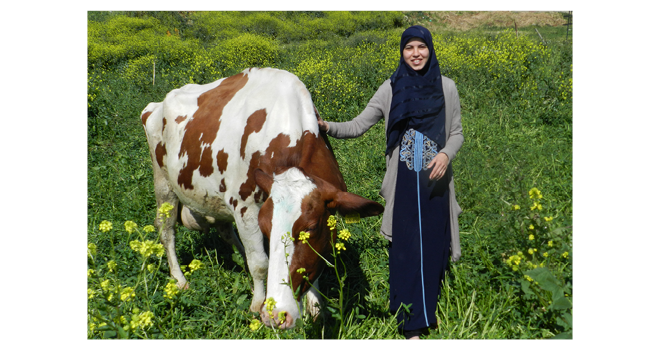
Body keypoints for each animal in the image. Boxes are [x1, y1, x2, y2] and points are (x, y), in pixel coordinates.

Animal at [142, 67, 384, 328]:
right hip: (163, 183)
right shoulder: (245, 208)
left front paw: (314, 307)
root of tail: (155, 105)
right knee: (166, 230)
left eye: (310, 228)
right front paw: (259, 305)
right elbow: (260, 263)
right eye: (266, 226)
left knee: (226, 230)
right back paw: (179, 279)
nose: (279, 314)